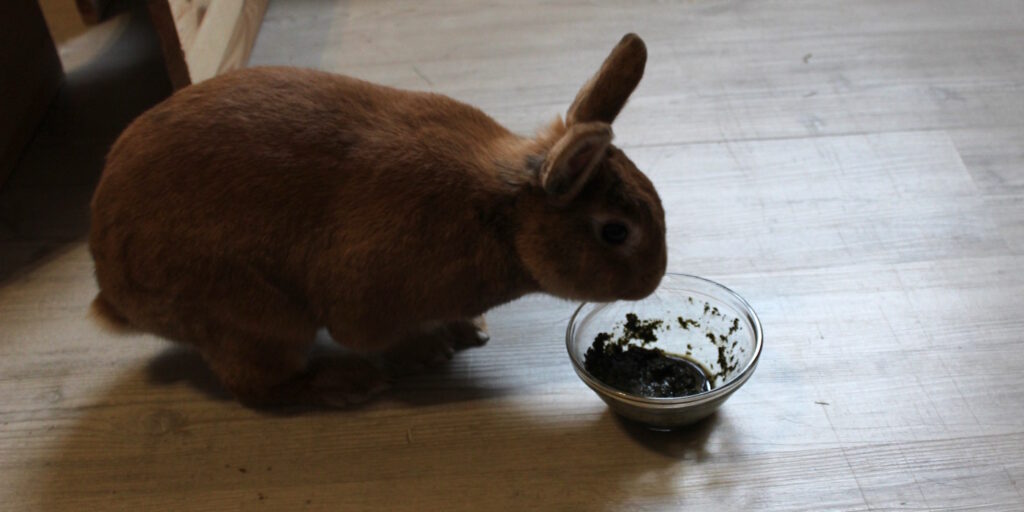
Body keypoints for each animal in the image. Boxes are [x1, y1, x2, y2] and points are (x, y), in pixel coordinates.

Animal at [88, 33, 666, 407]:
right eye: (615, 231)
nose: (655, 278)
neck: (504, 219)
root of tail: (112, 291)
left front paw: (468, 331)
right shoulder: (367, 301)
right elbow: (377, 335)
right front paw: (427, 353)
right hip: (254, 318)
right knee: (258, 388)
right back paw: (348, 385)